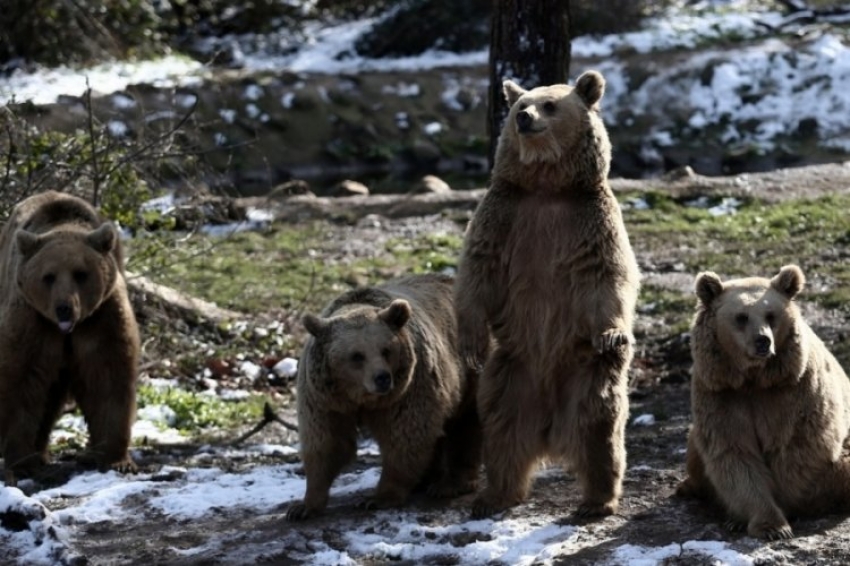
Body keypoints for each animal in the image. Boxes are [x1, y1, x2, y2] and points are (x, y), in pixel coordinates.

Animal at [0, 191, 139, 484]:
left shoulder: (101, 318)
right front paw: (22, 462)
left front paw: (116, 458)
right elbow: (20, 382)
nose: (64, 307)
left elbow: (108, 378)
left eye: (80, 274)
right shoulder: (33, 321)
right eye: (49, 276)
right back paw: (39, 455)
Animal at [284, 272, 480, 520]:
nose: (382, 378)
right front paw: (303, 506)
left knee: (466, 424)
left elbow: (405, 438)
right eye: (357, 355)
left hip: (470, 369)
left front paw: (377, 498)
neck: (359, 398)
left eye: (386, 350)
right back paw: (427, 479)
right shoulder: (323, 399)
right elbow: (326, 443)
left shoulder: (408, 389)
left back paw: (449, 485)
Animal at [454, 70, 640, 520]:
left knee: (599, 428)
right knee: (501, 428)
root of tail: (550, 433)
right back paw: (494, 494)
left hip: (586, 370)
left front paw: (613, 330)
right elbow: (477, 271)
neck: (547, 187)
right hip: (510, 370)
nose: (525, 118)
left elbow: (608, 275)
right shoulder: (503, 216)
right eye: (522, 105)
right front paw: (469, 342)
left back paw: (597, 500)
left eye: (551, 105)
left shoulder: (590, 220)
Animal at [680, 266, 850, 540]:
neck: (753, 378)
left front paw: (779, 519)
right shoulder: (721, 395)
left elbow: (793, 448)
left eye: (771, 314)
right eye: (741, 317)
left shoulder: (791, 393)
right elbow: (734, 453)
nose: (763, 341)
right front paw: (769, 524)